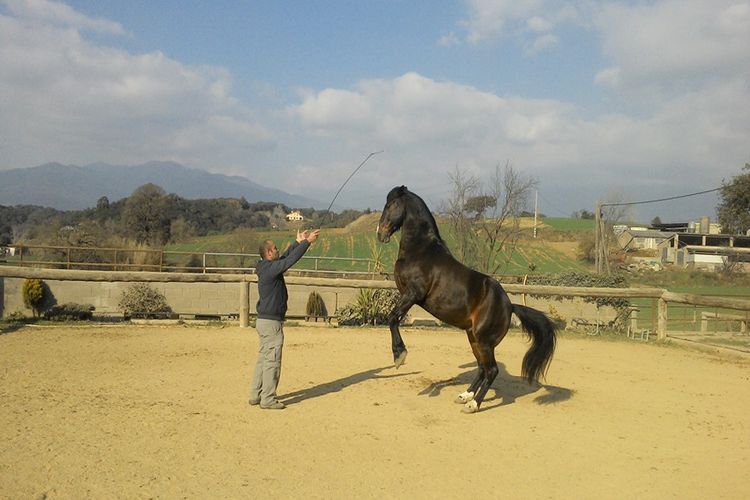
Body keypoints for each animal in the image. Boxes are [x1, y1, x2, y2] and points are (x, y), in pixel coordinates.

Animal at [376, 185, 557, 413]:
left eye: (391, 205)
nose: (380, 233)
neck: (421, 251)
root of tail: (510, 306)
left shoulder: (413, 294)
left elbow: (392, 318)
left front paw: (399, 356)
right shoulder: (406, 294)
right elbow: (393, 319)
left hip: (484, 340)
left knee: (491, 370)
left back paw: (473, 404)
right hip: (473, 338)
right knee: (481, 368)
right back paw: (465, 395)